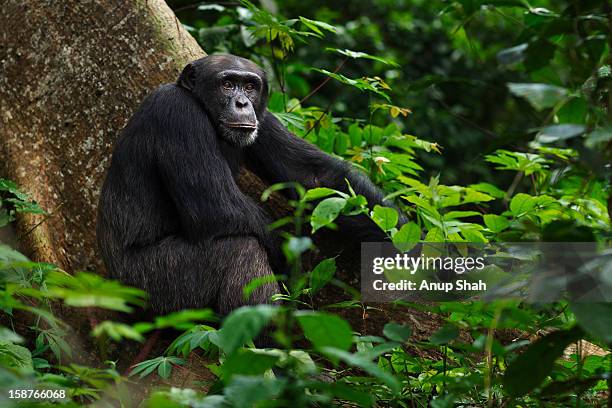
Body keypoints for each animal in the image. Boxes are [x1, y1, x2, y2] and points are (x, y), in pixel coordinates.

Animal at [97, 55, 396, 316]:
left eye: (250, 87)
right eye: (228, 84)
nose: (242, 103)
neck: (203, 108)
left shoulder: (263, 119)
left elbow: (313, 176)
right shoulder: (177, 115)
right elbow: (216, 209)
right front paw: (287, 261)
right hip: (153, 284)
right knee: (242, 250)